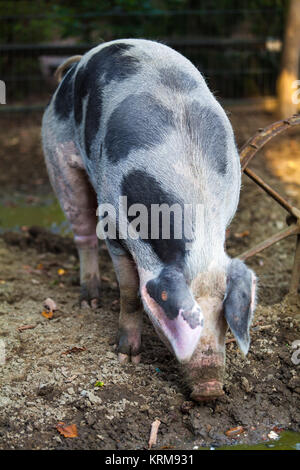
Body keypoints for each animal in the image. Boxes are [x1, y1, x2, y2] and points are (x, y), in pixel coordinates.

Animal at [42, 38, 256, 402]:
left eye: (223, 317)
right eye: (179, 318)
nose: (210, 390)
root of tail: (78, 62)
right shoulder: (113, 222)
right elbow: (130, 291)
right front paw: (126, 356)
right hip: (56, 155)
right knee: (82, 233)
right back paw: (89, 302)